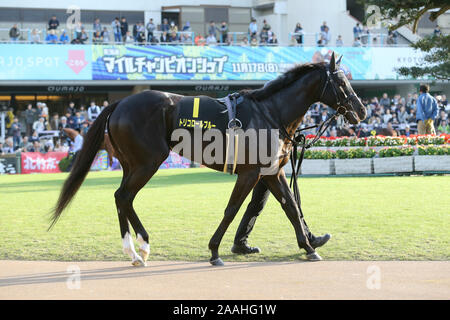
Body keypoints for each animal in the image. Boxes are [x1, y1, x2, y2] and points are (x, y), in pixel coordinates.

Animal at [51, 52, 366, 266]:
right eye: (341, 82)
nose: (362, 110)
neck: (269, 113)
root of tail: (119, 103)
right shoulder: (250, 173)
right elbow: (232, 209)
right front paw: (214, 251)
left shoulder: (271, 172)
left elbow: (291, 206)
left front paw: (309, 246)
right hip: (148, 162)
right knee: (125, 196)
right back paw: (142, 246)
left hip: (132, 164)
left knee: (120, 197)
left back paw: (134, 251)